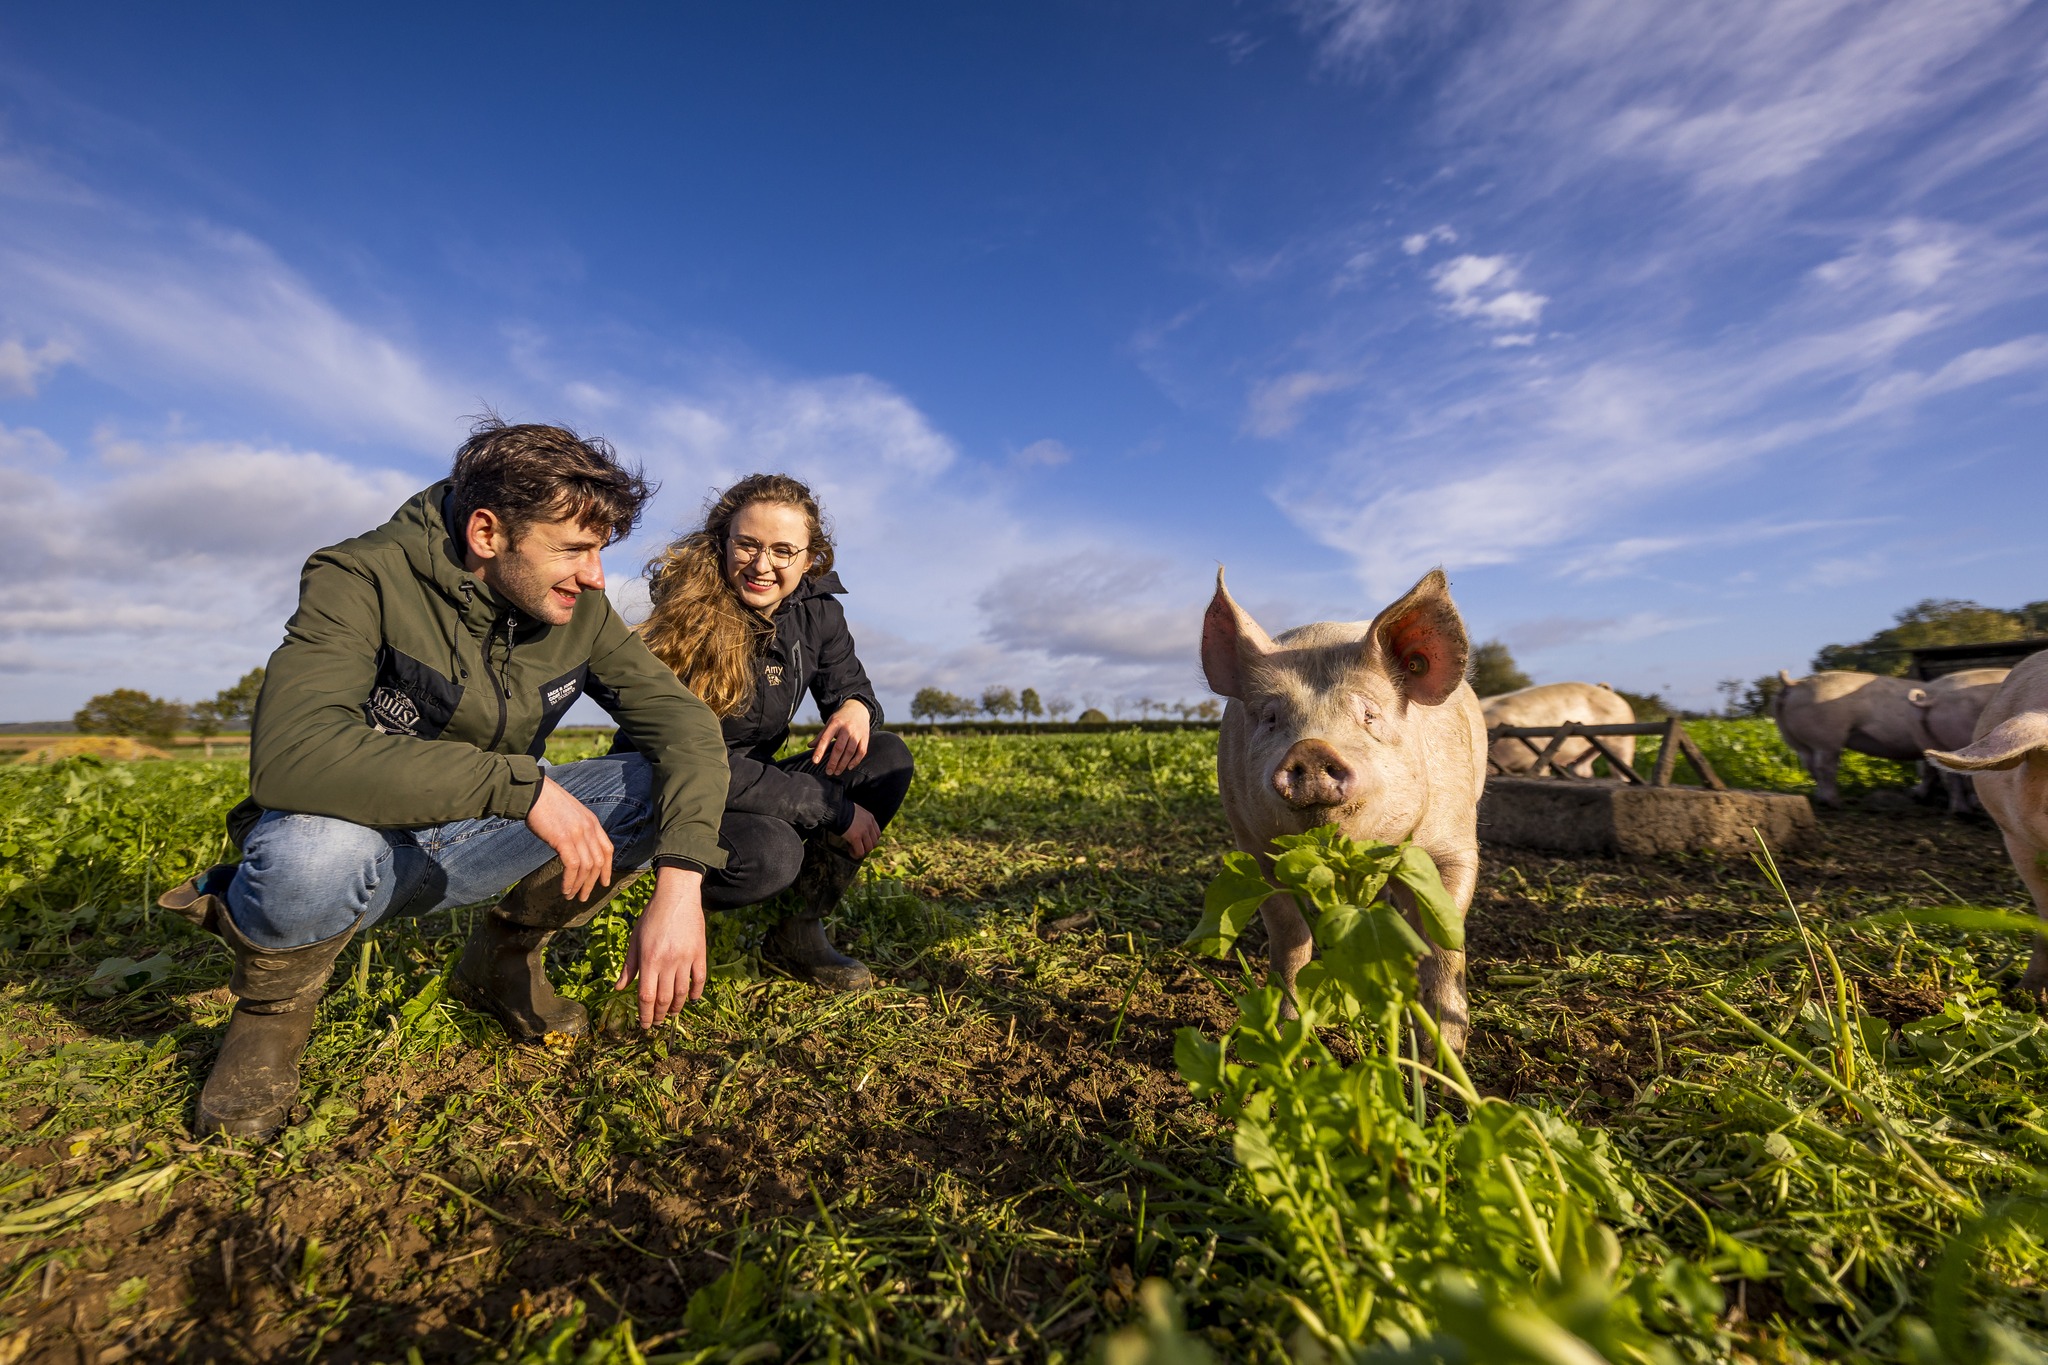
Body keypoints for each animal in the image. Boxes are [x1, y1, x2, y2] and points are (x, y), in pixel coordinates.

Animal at [1196, 564, 1490, 1055]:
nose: (1312, 749)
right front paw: (1287, 1033)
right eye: (1270, 717)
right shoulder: (1256, 851)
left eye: (1369, 715)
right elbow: (1290, 937)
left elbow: (1445, 940)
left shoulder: (1455, 844)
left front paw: (1442, 1053)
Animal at [1482, 683, 1638, 777]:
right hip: (1590, 750)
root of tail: (1606, 690)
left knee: (1621, 767)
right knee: (1582, 769)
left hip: (1622, 738)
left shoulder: (1532, 760)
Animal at [1769, 671, 1925, 810]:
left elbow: (1924, 770)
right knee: (1825, 768)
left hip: (1793, 738)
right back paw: (1835, 803)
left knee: (1810, 765)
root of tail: (1793, 684)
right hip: (1827, 738)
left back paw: (1822, 799)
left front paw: (1917, 794)